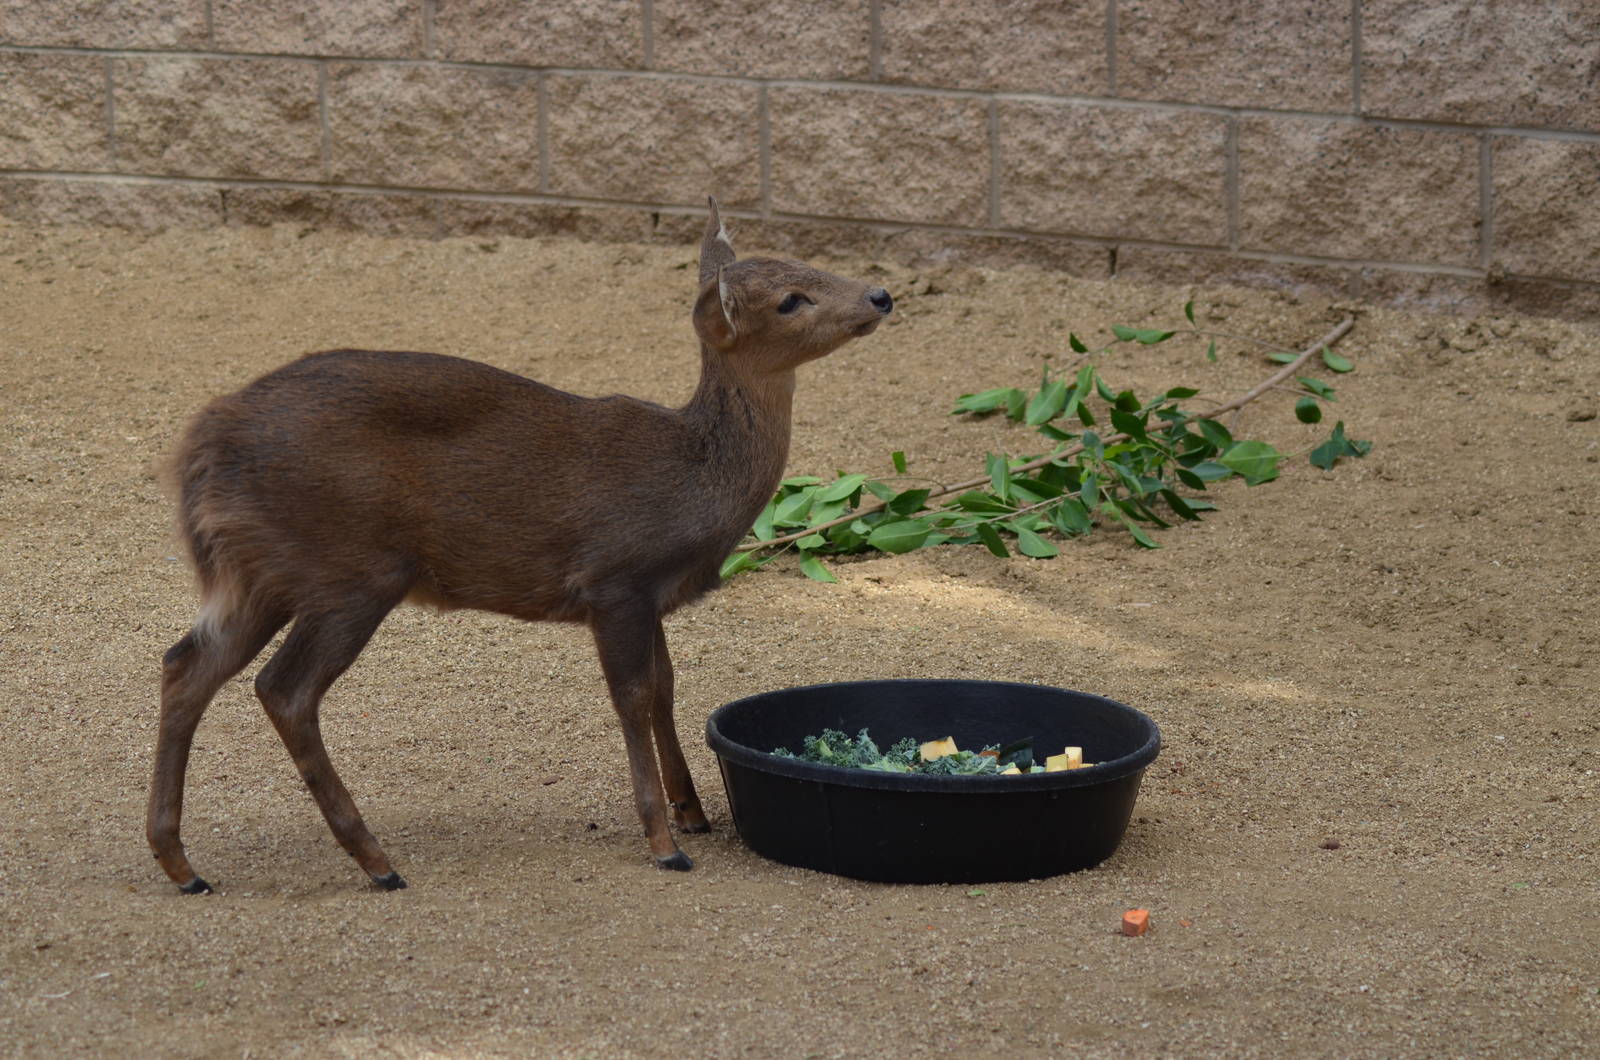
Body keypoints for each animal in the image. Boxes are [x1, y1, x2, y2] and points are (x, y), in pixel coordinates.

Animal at [147, 198, 893, 893]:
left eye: (808, 264)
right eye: (790, 299)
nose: (880, 295)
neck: (693, 476)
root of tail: (205, 443)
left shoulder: (647, 595)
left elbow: (665, 687)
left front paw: (692, 811)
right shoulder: (614, 577)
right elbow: (632, 695)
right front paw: (663, 843)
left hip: (265, 571)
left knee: (186, 665)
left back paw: (183, 866)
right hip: (352, 569)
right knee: (284, 689)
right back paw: (377, 862)